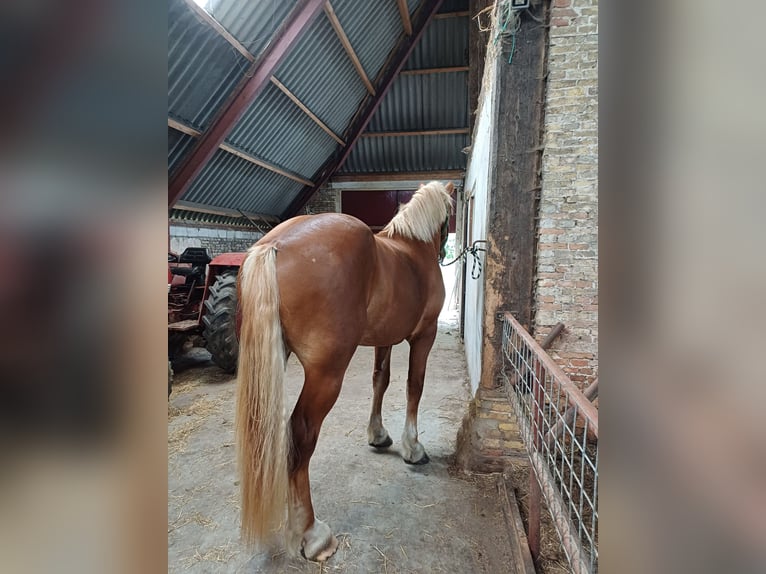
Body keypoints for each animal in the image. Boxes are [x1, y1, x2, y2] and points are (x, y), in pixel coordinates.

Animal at [237, 181, 452, 564]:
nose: (444, 248)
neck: (412, 250)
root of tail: (274, 245)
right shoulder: (423, 336)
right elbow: (414, 385)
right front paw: (413, 448)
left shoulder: (385, 339)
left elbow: (380, 381)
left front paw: (378, 435)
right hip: (326, 374)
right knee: (300, 435)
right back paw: (312, 534)